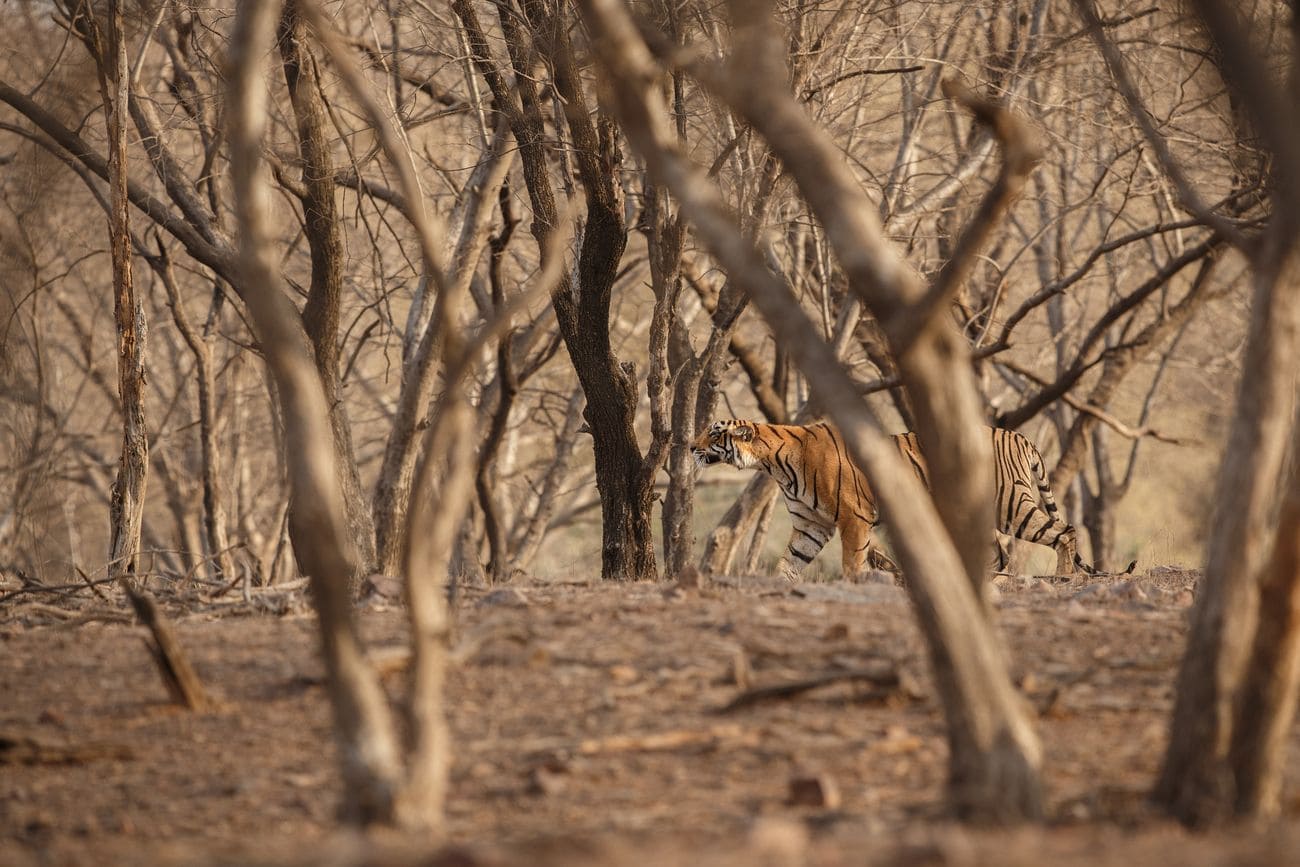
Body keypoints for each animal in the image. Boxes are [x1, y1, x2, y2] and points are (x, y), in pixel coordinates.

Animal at [691, 418, 1097, 579]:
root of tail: (1018, 435)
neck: (773, 464)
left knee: (1065, 531)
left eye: (713, 434)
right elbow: (788, 564)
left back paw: (1063, 578)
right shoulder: (810, 526)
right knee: (1003, 555)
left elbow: (853, 561)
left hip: (1011, 506)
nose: (691, 446)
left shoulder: (853, 517)